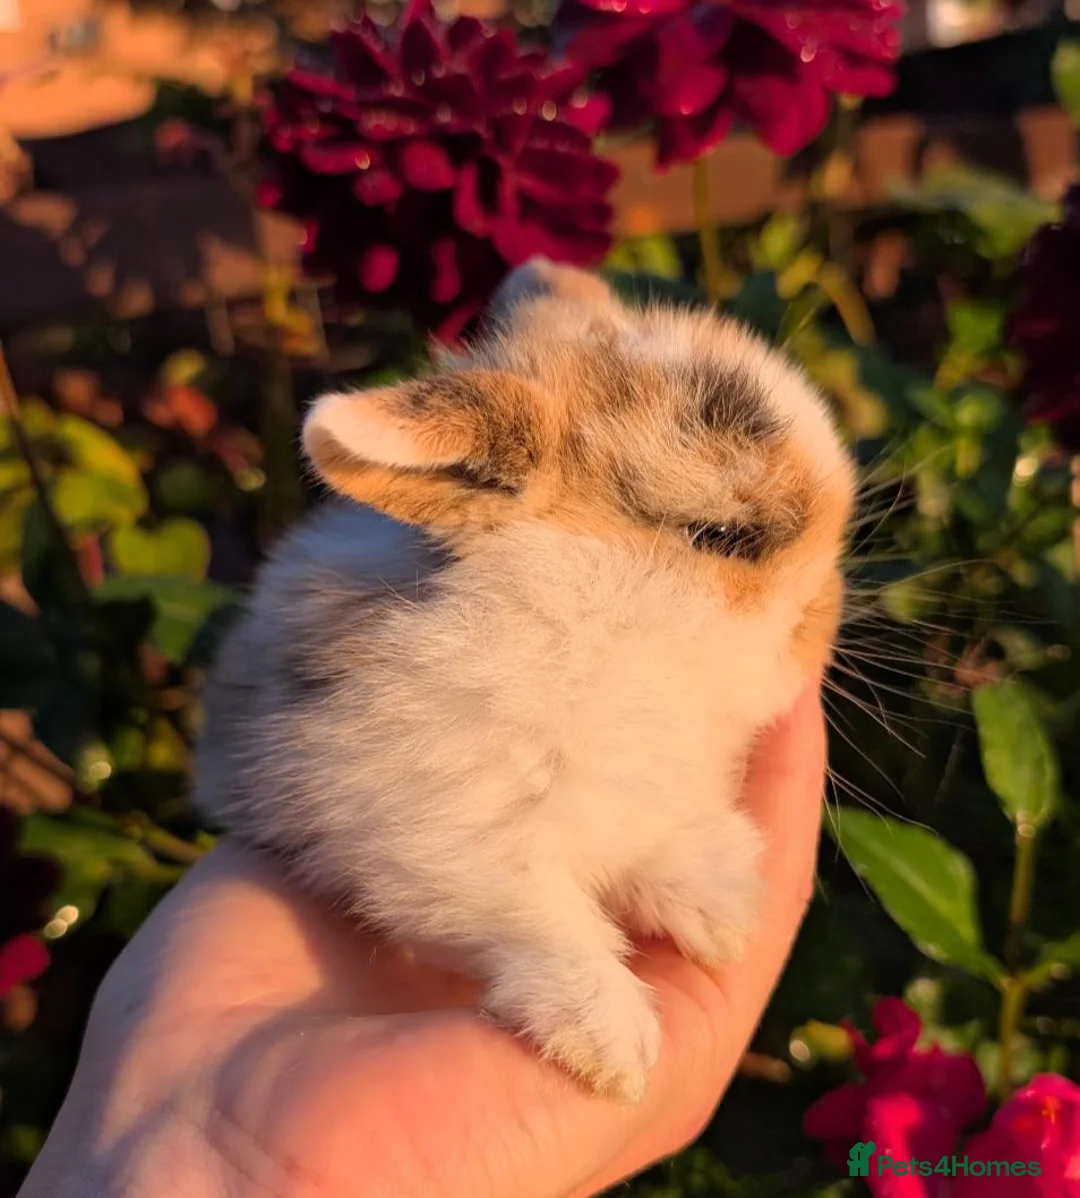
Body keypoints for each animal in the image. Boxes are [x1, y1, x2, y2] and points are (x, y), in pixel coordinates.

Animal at [194, 257, 855, 1103]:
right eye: (721, 536)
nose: (821, 623)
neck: (601, 631)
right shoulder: (434, 841)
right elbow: (536, 918)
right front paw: (613, 1052)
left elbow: (661, 839)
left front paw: (720, 914)